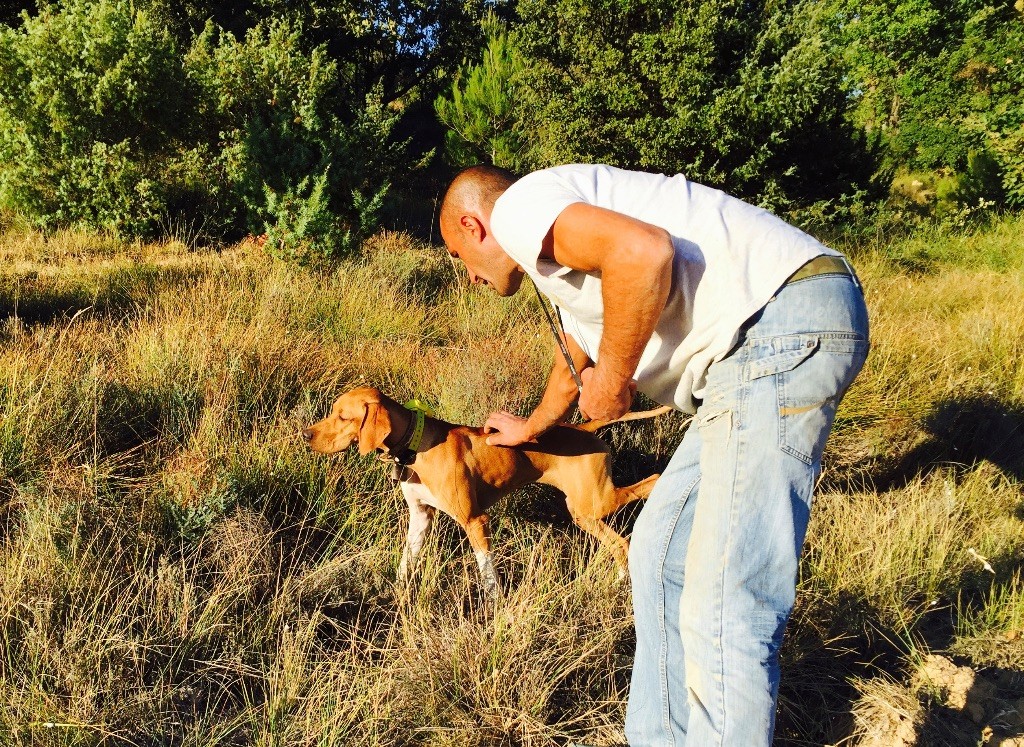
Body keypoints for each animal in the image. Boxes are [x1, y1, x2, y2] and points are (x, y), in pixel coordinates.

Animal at [301, 387, 671, 598]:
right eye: (333, 412)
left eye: (343, 416)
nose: (305, 434)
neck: (415, 447)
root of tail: (583, 427)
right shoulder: (421, 517)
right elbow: (407, 560)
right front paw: (397, 589)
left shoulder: (475, 520)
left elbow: (487, 570)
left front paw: (494, 604)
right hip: (584, 512)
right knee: (618, 543)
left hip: (594, 502)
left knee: (650, 484)